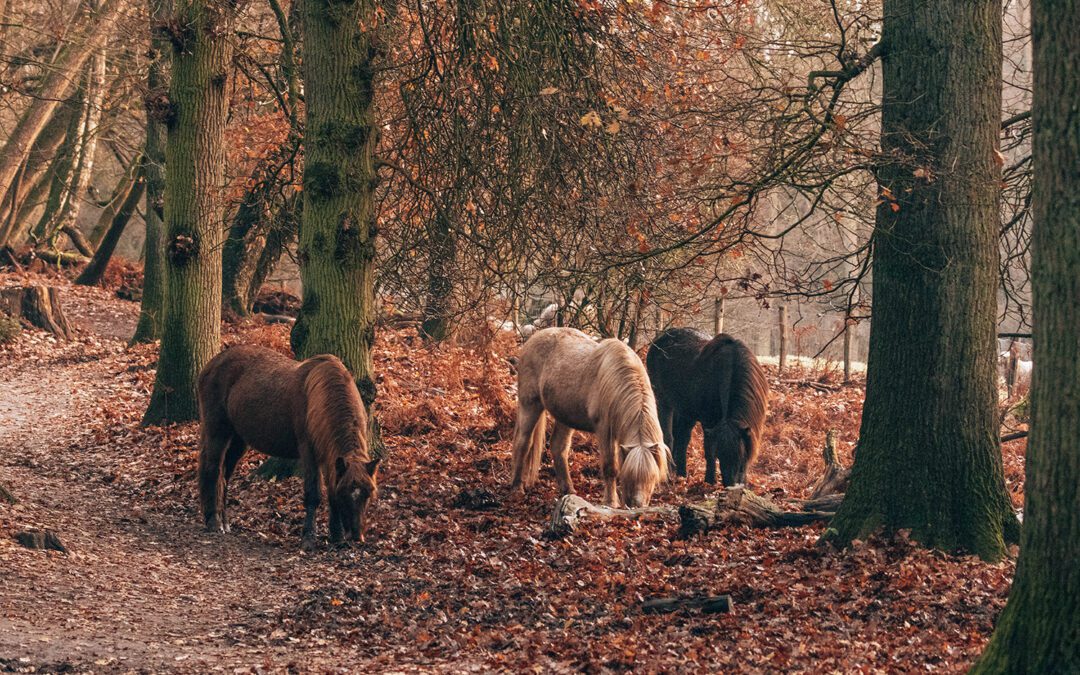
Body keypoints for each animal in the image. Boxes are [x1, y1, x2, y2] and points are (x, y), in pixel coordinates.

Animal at [197, 345, 380, 544]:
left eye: (368, 493)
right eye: (345, 493)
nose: (356, 536)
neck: (320, 396)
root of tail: (213, 363)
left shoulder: (330, 455)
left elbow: (331, 490)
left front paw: (336, 535)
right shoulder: (309, 452)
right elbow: (313, 493)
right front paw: (309, 536)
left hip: (238, 440)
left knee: (224, 476)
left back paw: (225, 522)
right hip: (217, 432)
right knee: (213, 470)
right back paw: (214, 521)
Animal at [507, 326, 665, 505]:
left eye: (652, 478)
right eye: (629, 476)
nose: (637, 505)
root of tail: (532, 339)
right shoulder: (604, 430)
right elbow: (610, 467)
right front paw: (611, 502)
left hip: (565, 416)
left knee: (558, 447)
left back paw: (568, 490)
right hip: (530, 405)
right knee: (523, 443)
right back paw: (517, 488)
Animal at [639, 326, 768, 483]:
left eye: (742, 455)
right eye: (721, 455)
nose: (731, 484)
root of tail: (659, 341)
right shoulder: (708, 422)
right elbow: (709, 450)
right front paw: (710, 480)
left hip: (686, 412)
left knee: (682, 439)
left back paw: (681, 472)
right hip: (664, 402)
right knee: (669, 436)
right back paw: (669, 474)